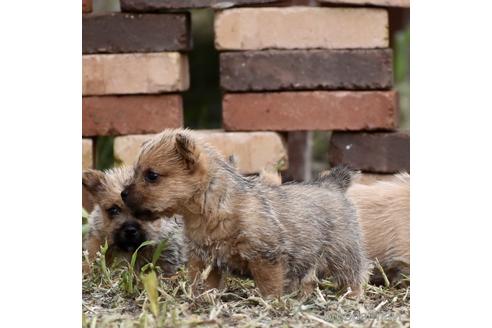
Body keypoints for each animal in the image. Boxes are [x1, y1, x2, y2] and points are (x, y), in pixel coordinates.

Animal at [121, 129, 368, 298]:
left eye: (152, 176)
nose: (123, 194)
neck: (213, 208)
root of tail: (332, 184)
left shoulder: (266, 257)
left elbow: (269, 287)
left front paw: (271, 303)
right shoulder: (204, 258)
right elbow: (200, 282)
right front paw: (200, 297)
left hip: (343, 254)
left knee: (355, 276)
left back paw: (352, 296)